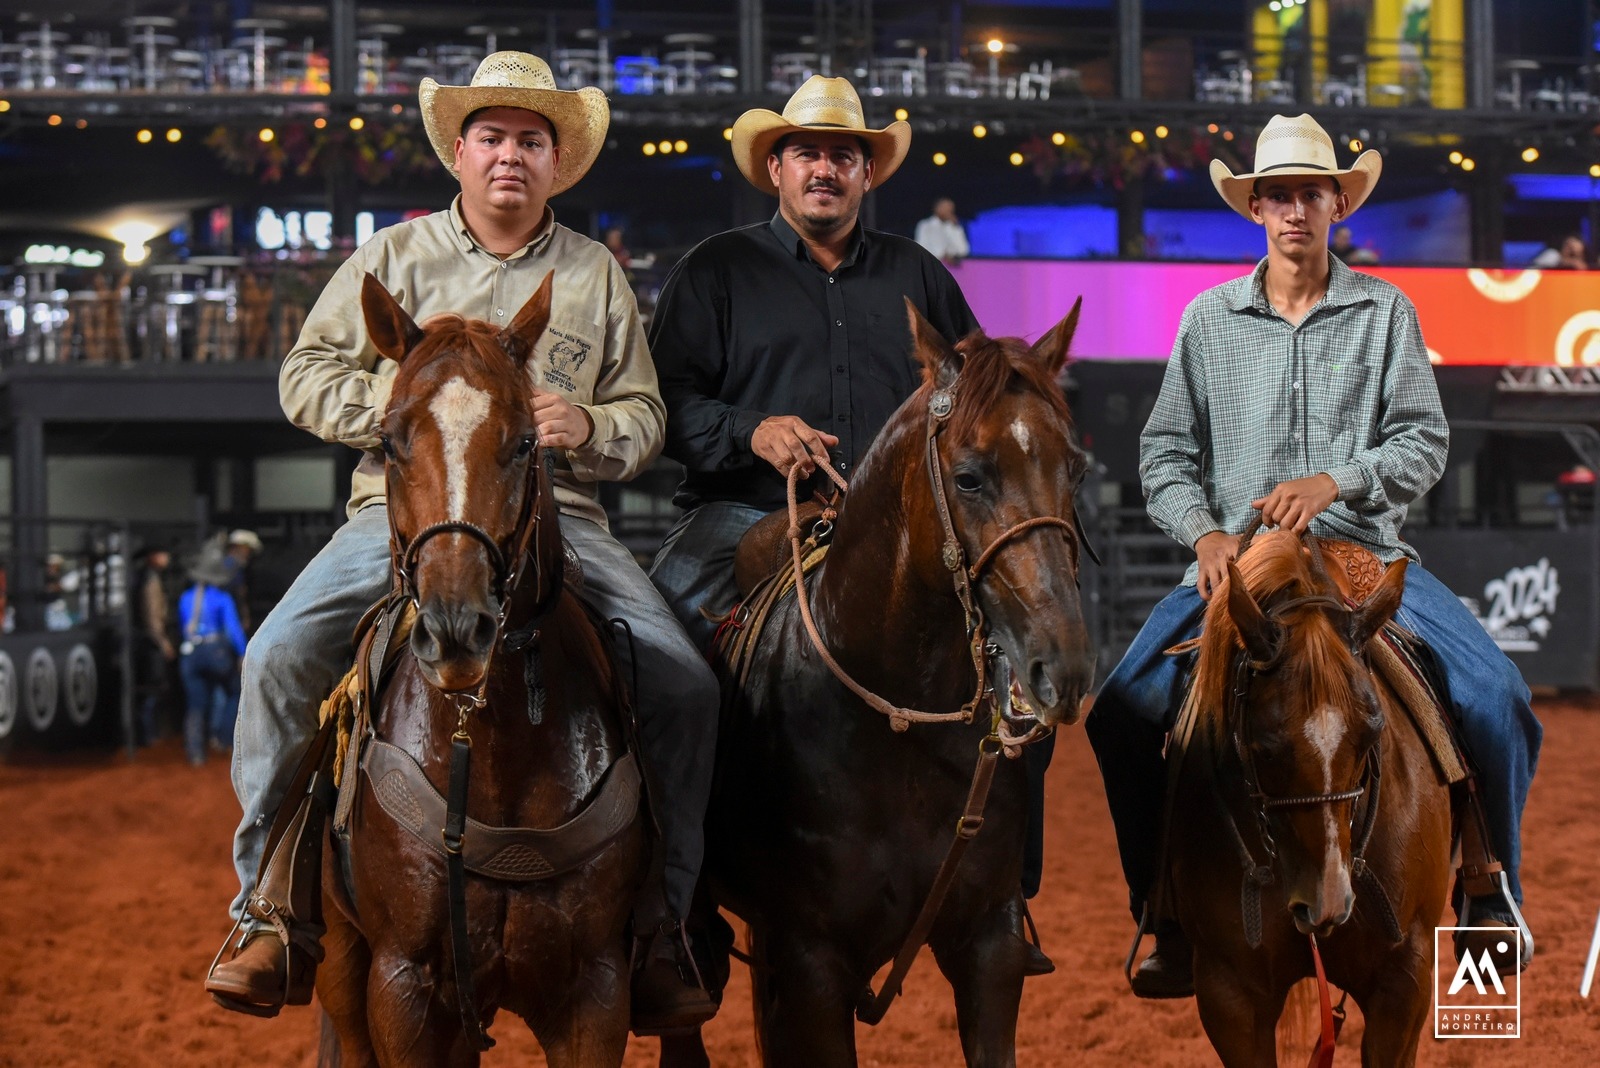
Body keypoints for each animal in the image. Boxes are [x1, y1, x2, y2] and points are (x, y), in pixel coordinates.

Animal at [315, 274, 646, 1068]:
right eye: (388, 440)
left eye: (526, 440)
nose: (456, 630)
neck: (490, 749)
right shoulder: (401, 987)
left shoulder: (597, 991)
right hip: (342, 964)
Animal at [662, 300, 1100, 1068]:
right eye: (968, 477)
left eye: (1074, 471)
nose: (1064, 664)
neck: (896, 725)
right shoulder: (810, 966)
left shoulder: (989, 948)